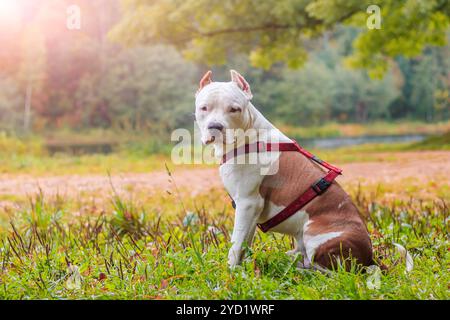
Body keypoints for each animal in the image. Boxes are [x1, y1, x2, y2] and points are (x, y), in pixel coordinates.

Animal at [195, 70, 406, 272]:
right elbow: (245, 242)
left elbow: (236, 244)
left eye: (234, 109)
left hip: (314, 232)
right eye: (204, 108)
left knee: (332, 271)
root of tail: (369, 256)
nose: (215, 127)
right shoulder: (249, 211)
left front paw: (230, 271)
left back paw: (302, 269)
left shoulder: (248, 203)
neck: (248, 137)